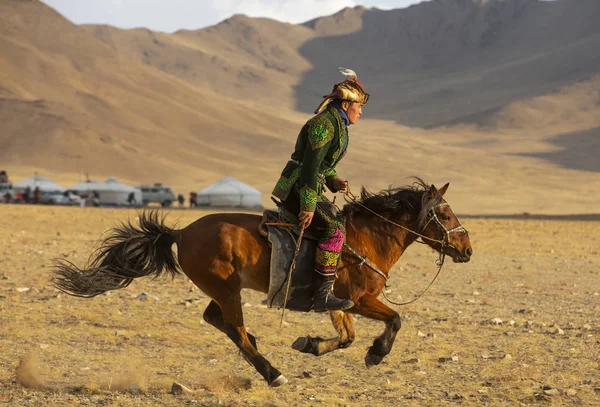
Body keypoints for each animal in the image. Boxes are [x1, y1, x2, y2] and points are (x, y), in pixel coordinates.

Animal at [54, 180, 472, 388]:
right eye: (446, 213)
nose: (467, 249)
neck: (368, 238)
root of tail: (181, 232)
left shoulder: (340, 304)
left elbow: (346, 338)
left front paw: (311, 344)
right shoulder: (360, 298)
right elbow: (394, 321)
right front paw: (377, 353)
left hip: (222, 290)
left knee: (217, 321)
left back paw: (261, 356)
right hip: (226, 289)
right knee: (235, 329)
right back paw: (272, 373)